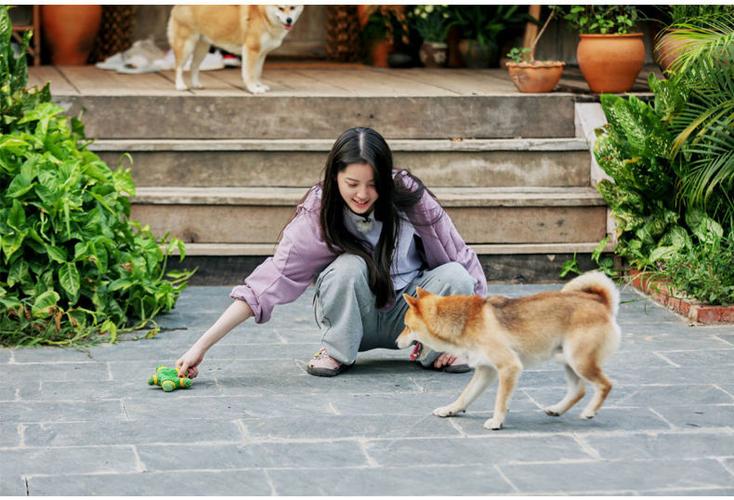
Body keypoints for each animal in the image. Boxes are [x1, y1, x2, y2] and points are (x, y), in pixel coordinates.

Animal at [168, 5, 304, 93]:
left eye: (292, 7)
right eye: (281, 8)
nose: (289, 20)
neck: (263, 15)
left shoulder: (261, 54)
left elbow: (257, 73)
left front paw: (259, 85)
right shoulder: (251, 50)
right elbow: (249, 73)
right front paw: (253, 88)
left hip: (202, 48)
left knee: (194, 66)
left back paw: (196, 85)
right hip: (186, 45)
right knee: (179, 67)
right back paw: (180, 86)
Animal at [400, 272, 624, 432]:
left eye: (407, 327)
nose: (396, 340)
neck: (466, 321)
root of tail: (600, 302)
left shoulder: (508, 368)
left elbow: (500, 400)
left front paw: (497, 421)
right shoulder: (485, 371)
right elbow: (465, 395)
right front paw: (450, 410)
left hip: (579, 361)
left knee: (605, 385)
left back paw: (590, 411)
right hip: (568, 360)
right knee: (579, 391)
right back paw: (557, 409)